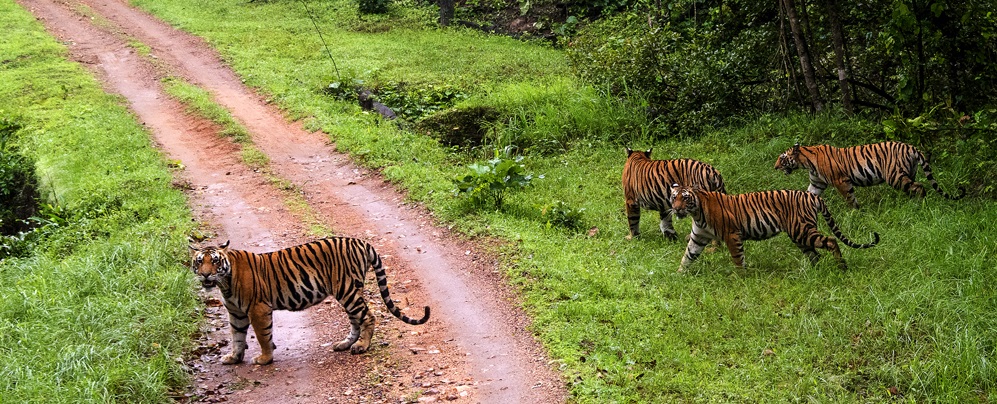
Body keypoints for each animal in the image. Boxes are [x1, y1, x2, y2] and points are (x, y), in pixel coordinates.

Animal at [189, 237, 430, 366]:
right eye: (200, 262)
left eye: (215, 261)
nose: (206, 275)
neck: (225, 283)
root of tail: (360, 241)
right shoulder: (236, 312)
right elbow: (237, 336)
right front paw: (234, 357)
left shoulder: (258, 309)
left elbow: (263, 336)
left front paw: (265, 359)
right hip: (350, 291)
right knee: (356, 319)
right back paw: (345, 344)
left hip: (347, 289)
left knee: (368, 317)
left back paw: (362, 346)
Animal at [668, 184, 880, 272]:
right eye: (674, 197)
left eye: (685, 198)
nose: (676, 209)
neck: (697, 213)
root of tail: (812, 195)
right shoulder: (698, 237)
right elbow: (687, 256)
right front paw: (678, 275)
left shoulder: (732, 235)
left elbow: (738, 259)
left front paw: (741, 278)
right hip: (799, 235)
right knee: (815, 254)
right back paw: (814, 272)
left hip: (802, 230)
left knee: (831, 240)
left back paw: (842, 267)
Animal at [772, 140, 964, 208]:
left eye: (782, 158)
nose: (774, 167)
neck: (807, 162)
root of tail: (910, 146)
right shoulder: (817, 183)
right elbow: (809, 194)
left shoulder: (841, 180)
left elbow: (850, 198)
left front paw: (856, 212)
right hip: (908, 173)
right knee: (913, 187)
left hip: (895, 176)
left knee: (919, 187)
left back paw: (920, 205)